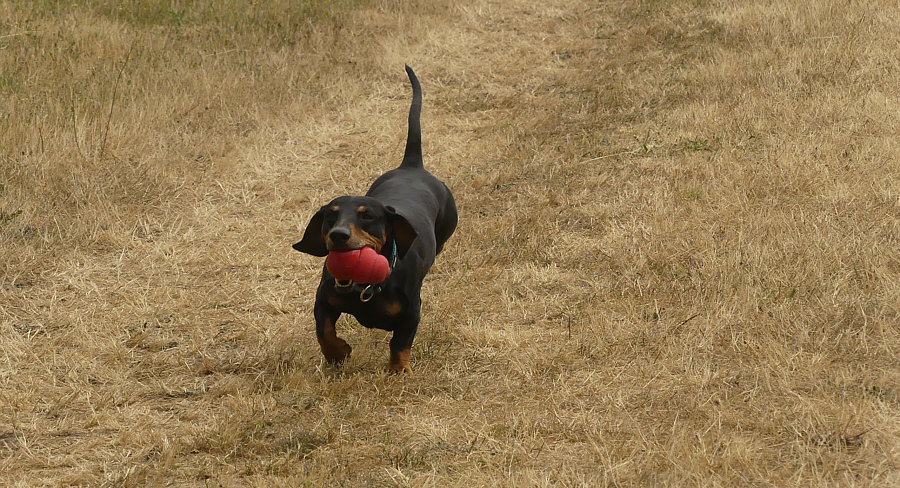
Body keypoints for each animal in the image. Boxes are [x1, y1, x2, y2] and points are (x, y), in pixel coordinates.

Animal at [292, 66, 457, 373]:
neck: (364, 288)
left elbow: (400, 343)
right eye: (329, 216)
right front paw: (338, 353)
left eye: (367, 216)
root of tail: (412, 166)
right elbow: (324, 331)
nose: (339, 235)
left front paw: (398, 371)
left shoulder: (411, 312)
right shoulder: (323, 300)